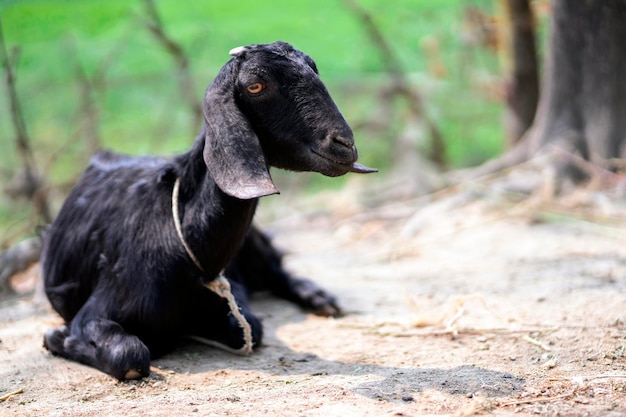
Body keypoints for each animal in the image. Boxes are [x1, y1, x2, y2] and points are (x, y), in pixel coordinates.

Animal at [44, 42, 376, 380]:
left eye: (313, 68)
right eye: (255, 86)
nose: (344, 145)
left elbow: (251, 328)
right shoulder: (96, 310)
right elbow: (130, 357)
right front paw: (56, 338)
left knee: (277, 270)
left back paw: (321, 299)